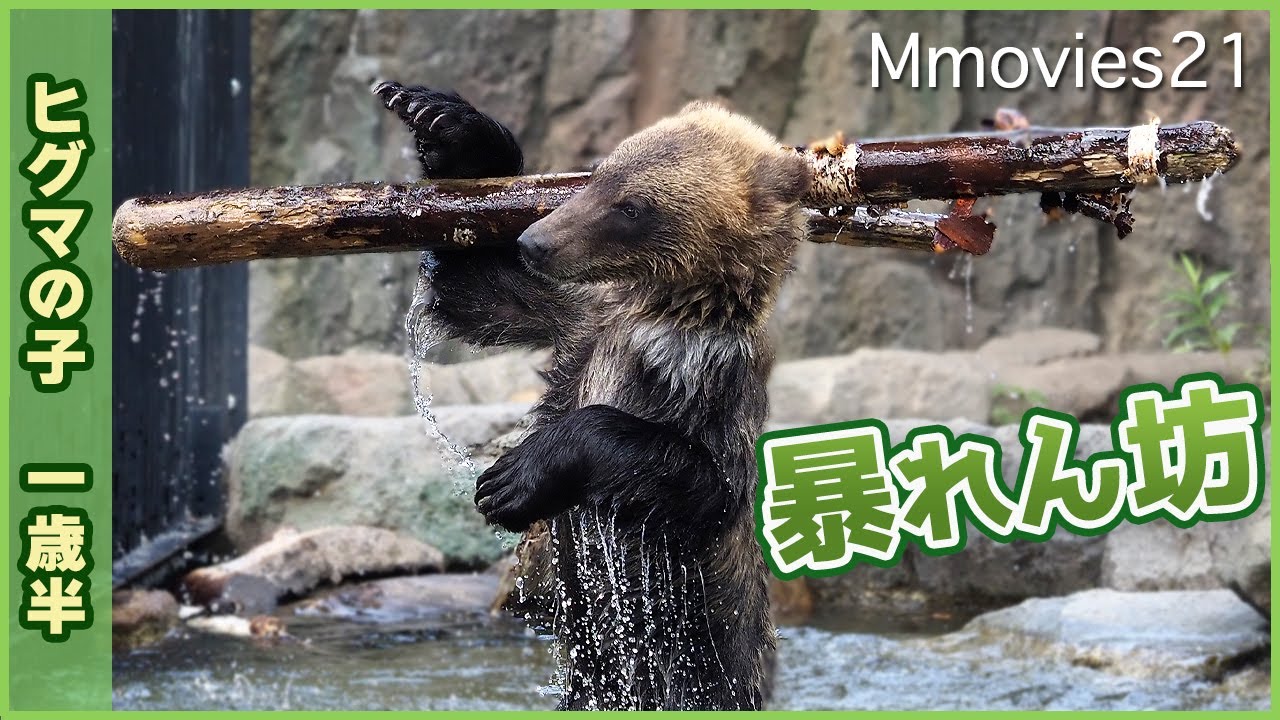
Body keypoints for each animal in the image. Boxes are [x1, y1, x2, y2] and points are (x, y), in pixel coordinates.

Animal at [374, 81, 811, 710]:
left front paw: (510, 479)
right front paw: (442, 121)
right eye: (601, 172)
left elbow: (704, 480)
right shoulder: (583, 317)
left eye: (632, 207)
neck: (658, 317)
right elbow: (478, 286)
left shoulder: (711, 389)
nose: (535, 241)